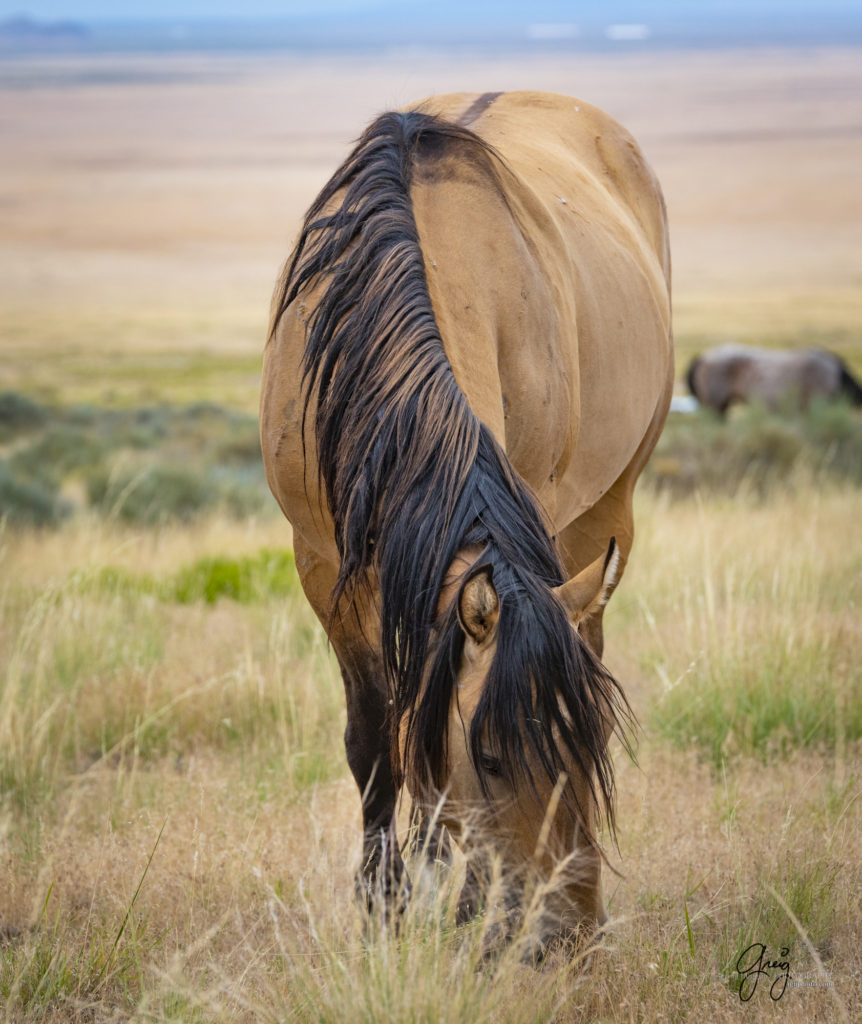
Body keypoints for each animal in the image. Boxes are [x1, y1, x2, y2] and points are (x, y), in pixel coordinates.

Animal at [259, 92, 675, 946]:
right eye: (487, 757)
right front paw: (385, 909)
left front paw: (454, 906)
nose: (566, 931)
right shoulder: (323, 567)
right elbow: (378, 742)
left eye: (590, 742)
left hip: (605, 511)